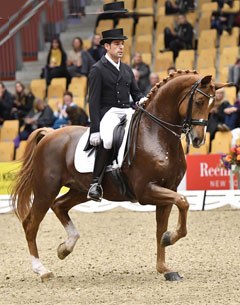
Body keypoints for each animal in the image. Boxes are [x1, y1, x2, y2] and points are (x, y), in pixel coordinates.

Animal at [10, 69, 225, 280]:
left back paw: (65, 248)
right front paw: (170, 239)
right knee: (31, 224)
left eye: (213, 104)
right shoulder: (146, 191)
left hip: (79, 190)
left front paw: (164, 266)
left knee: (59, 206)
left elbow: (161, 227)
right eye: (199, 101)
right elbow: (183, 202)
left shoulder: (167, 190)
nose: (198, 140)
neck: (155, 134)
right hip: (46, 189)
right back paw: (42, 270)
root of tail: (50, 134)